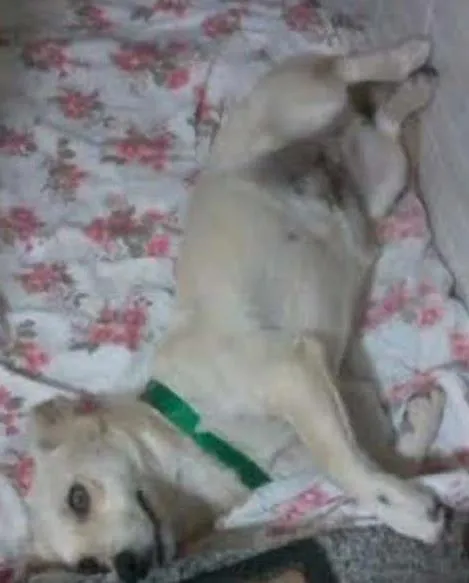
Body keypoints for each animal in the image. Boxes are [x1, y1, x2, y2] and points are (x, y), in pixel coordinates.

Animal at [12, 38, 443, 581]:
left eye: (77, 498)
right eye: (89, 568)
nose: (128, 568)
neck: (198, 431)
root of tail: (332, 147)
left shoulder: (290, 372)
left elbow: (348, 471)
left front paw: (412, 517)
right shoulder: (349, 406)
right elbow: (385, 462)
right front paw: (421, 430)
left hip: (304, 102)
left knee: (343, 69)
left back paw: (410, 57)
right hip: (386, 178)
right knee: (384, 122)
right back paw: (414, 92)